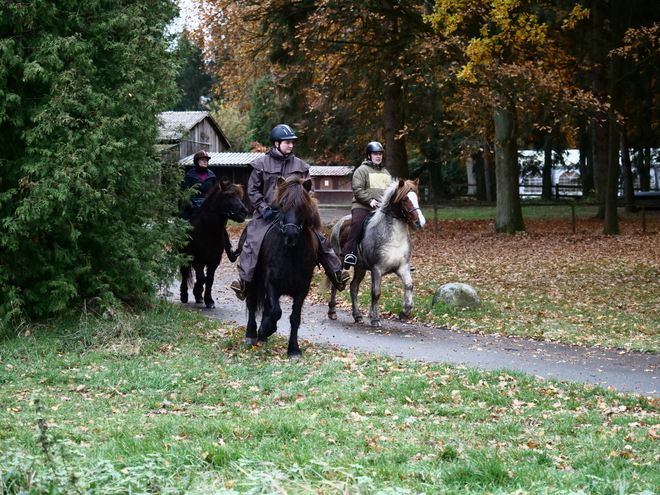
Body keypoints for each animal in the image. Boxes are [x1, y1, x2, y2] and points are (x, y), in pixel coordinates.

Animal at [180, 177, 248, 310]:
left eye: (240, 196)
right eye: (229, 195)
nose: (244, 212)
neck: (207, 231)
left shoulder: (214, 260)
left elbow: (209, 279)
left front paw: (208, 300)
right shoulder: (195, 258)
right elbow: (202, 278)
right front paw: (197, 291)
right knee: (184, 273)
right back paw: (184, 295)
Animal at [245, 176, 322, 358]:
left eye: (303, 206)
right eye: (282, 204)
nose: (290, 235)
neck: (291, 254)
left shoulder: (302, 289)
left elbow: (294, 318)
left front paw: (293, 348)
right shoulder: (272, 283)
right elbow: (276, 311)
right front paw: (266, 329)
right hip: (253, 279)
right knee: (252, 303)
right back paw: (252, 334)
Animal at [328, 178, 426, 326]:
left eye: (418, 198)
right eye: (405, 199)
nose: (420, 223)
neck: (394, 238)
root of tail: (339, 223)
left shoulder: (402, 268)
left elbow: (409, 285)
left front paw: (404, 313)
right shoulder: (376, 269)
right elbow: (376, 293)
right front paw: (375, 318)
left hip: (360, 268)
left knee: (353, 287)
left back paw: (357, 316)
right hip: (339, 262)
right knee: (335, 284)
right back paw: (332, 312)